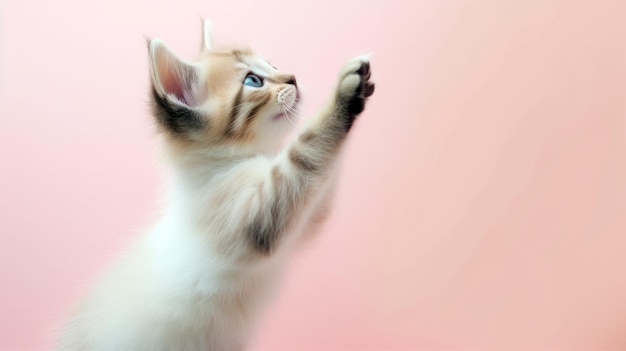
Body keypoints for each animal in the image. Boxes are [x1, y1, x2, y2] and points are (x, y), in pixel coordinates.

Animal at [56, 22, 372, 351]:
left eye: (271, 65)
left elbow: (322, 180)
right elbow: (308, 149)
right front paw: (344, 92)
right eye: (253, 80)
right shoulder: (261, 213)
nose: (292, 77)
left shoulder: (305, 217)